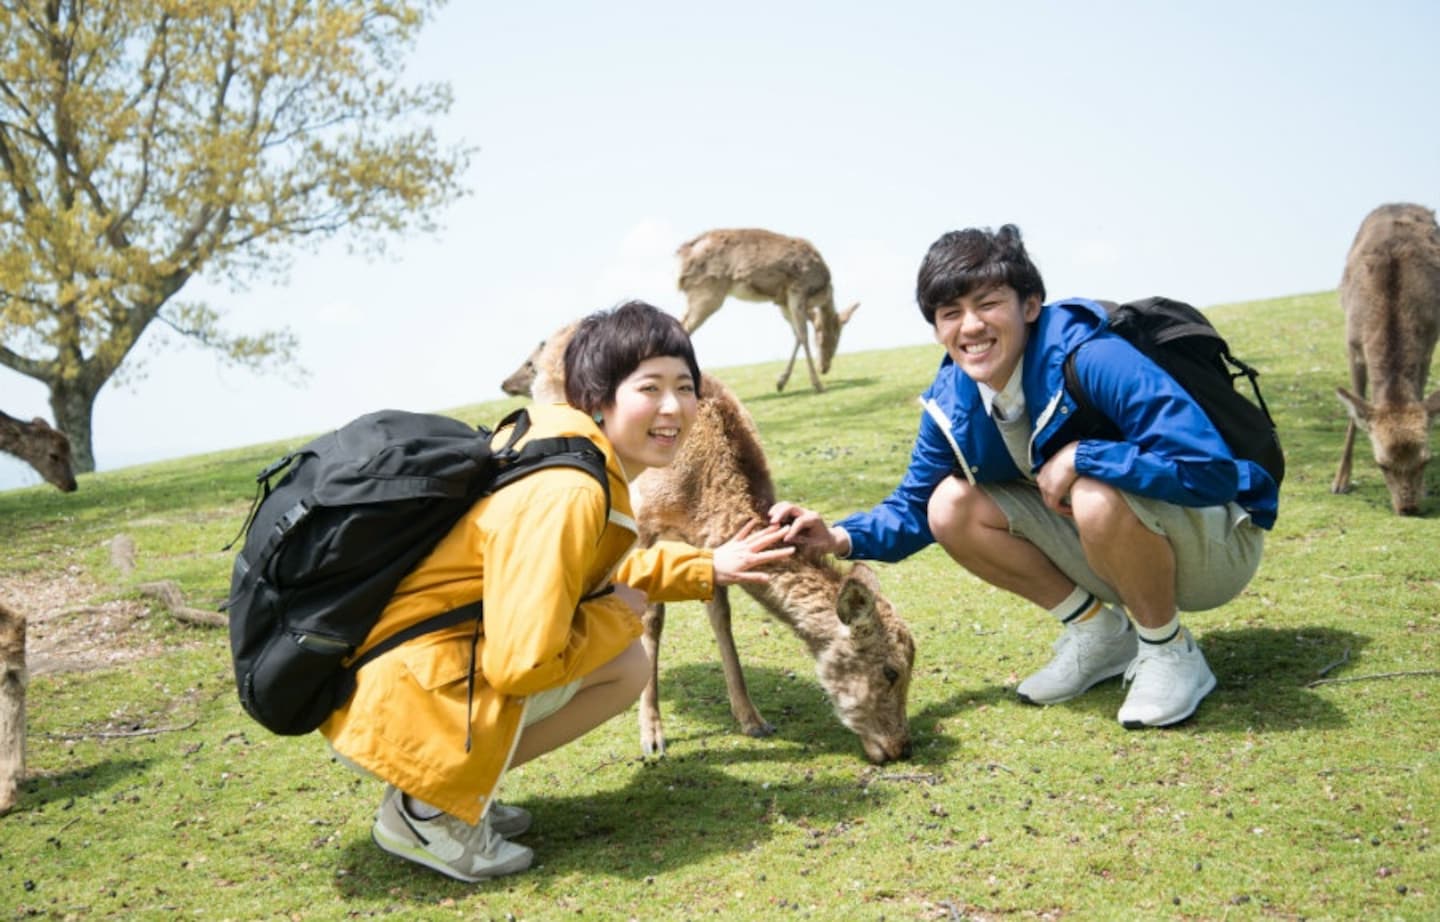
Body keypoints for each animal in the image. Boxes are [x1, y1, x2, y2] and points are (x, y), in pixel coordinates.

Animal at [501, 325, 915, 760]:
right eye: (890, 671)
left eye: (910, 665)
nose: (901, 746)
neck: (699, 494)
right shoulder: (644, 520)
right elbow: (652, 618)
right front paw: (652, 735)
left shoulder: (709, 542)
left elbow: (720, 615)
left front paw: (752, 719)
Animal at [673, 229, 852, 391]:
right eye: (834, 338)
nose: (825, 368)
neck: (822, 292)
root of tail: (683, 254)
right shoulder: (797, 290)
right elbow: (803, 335)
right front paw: (818, 385)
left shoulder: (783, 302)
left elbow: (796, 335)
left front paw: (781, 382)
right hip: (707, 292)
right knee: (683, 327)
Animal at [1324, 203, 1440, 515]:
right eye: (1382, 465)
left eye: (1425, 460)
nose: (1408, 508)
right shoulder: (1352, 344)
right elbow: (1354, 412)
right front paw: (1340, 481)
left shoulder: (1428, 341)